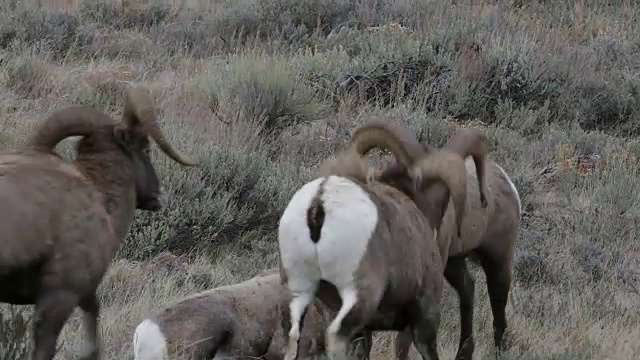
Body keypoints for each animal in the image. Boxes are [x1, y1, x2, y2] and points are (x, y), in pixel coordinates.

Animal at [276, 129, 470, 360]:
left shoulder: (367, 330)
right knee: (336, 336)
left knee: (294, 337)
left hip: (300, 291)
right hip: (359, 295)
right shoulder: (426, 313)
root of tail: (320, 201)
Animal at [352, 121, 524, 360]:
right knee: (468, 288)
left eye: (444, 200)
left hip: (496, 263)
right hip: (453, 263)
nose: (426, 237)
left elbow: (401, 344)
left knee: (499, 315)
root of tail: (506, 180)